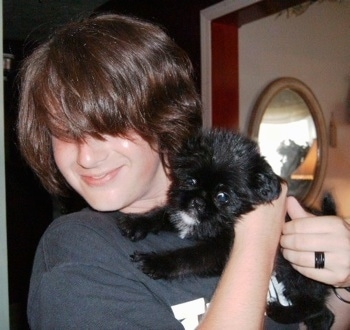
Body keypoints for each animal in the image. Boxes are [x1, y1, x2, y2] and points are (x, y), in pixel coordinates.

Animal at [119, 127, 334, 328]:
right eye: (191, 181)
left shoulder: (219, 252)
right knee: (325, 315)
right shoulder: (183, 214)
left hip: (298, 274)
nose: (197, 202)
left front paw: (157, 262)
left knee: (316, 306)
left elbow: (189, 256)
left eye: (223, 196)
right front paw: (138, 222)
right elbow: (164, 214)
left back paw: (281, 312)